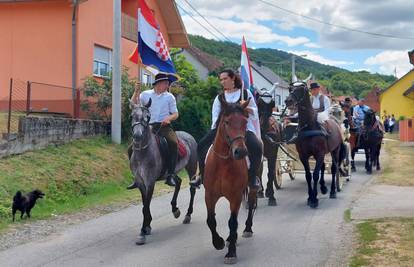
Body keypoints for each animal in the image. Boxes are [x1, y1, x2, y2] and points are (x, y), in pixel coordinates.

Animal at [129, 99, 199, 246]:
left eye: (147, 117)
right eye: (132, 116)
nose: (137, 135)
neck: (143, 153)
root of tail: (188, 135)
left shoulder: (150, 182)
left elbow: (146, 206)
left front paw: (142, 232)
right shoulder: (140, 182)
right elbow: (144, 205)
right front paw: (147, 226)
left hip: (191, 167)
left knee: (192, 189)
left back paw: (187, 215)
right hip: (172, 172)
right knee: (178, 182)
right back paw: (175, 209)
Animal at [205, 95, 258, 264]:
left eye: (245, 122)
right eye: (227, 122)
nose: (240, 152)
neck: (223, 163)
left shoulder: (235, 196)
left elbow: (233, 222)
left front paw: (231, 253)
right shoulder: (210, 195)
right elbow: (211, 220)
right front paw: (218, 242)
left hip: (251, 186)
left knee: (251, 203)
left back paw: (247, 229)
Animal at [284, 81, 346, 209]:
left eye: (301, 89)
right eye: (290, 88)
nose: (288, 101)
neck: (309, 126)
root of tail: (336, 122)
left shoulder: (320, 153)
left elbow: (316, 175)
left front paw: (314, 199)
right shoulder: (304, 156)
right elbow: (309, 175)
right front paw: (310, 197)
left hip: (335, 150)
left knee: (334, 168)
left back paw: (333, 191)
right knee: (323, 167)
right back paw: (323, 187)